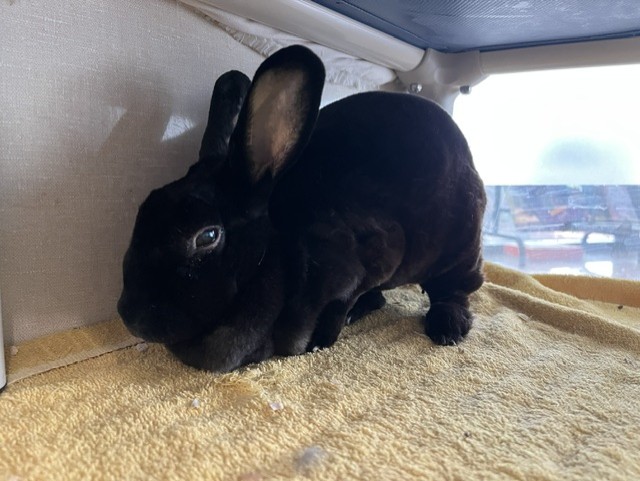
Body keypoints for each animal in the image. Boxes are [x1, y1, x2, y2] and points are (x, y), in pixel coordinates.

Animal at [117, 45, 486, 373]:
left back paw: (447, 328)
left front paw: (320, 340)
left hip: (459, 249)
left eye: (206, 236)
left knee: (455, 289)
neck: (273, 251)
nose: (128, 315)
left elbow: (341, 303)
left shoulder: (375, 256)